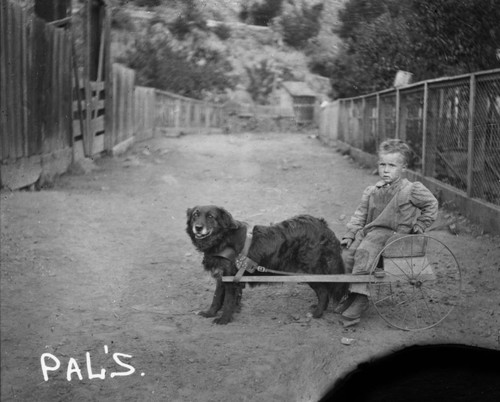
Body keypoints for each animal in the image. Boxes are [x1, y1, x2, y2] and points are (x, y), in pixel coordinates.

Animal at [186, 206, 346, 326]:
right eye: (195, 215)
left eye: (211, 217)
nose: (198, 227)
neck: (222, 240)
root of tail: (322, 225)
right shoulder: (222, 276)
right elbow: (217, 297)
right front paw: (209, 313)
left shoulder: (230, 279)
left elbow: (227, 301)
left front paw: (223, 319)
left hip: (309, 271)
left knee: (323, 292)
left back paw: (317, 313)